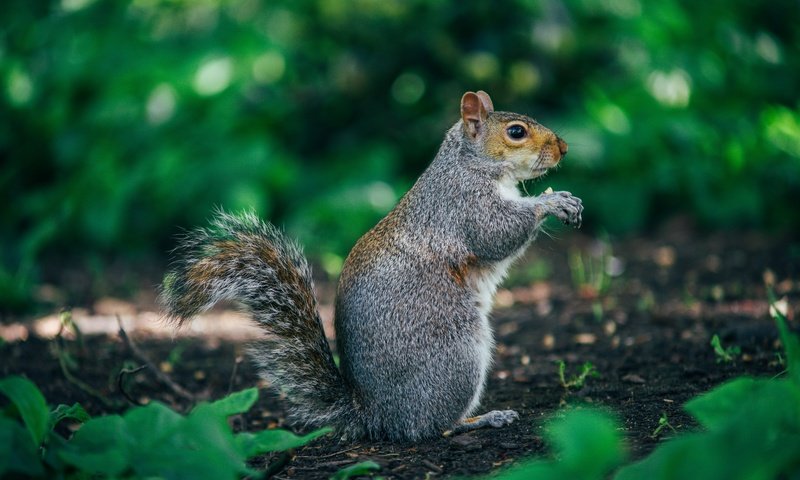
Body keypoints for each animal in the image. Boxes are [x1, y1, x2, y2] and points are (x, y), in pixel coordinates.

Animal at [159, 91, 584, 442]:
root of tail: (375, 415)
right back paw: (482, 419)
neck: (471, 164)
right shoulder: (464, 205)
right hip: (456, 354)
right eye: (516, 132)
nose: (564, 148)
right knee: (431, 427)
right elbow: (496, 233)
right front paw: (552, 201)